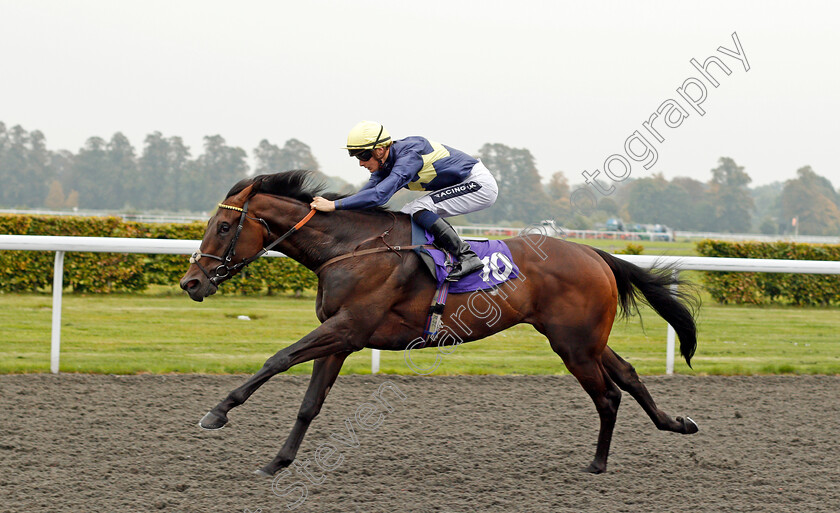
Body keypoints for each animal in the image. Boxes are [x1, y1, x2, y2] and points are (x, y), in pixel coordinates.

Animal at [180, 171, 700, 476]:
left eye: (223, 227)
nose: (191, 282)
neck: (349, 248)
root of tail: (595, 252)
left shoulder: (347, 328)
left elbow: (277, 358)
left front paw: (217, 412)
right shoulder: (341, 338)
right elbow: (309, 404)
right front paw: (278, 462)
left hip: (573, 345)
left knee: (608, 394)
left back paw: (597, 463)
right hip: (584, 340)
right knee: (627, 375)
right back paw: (676, 423)